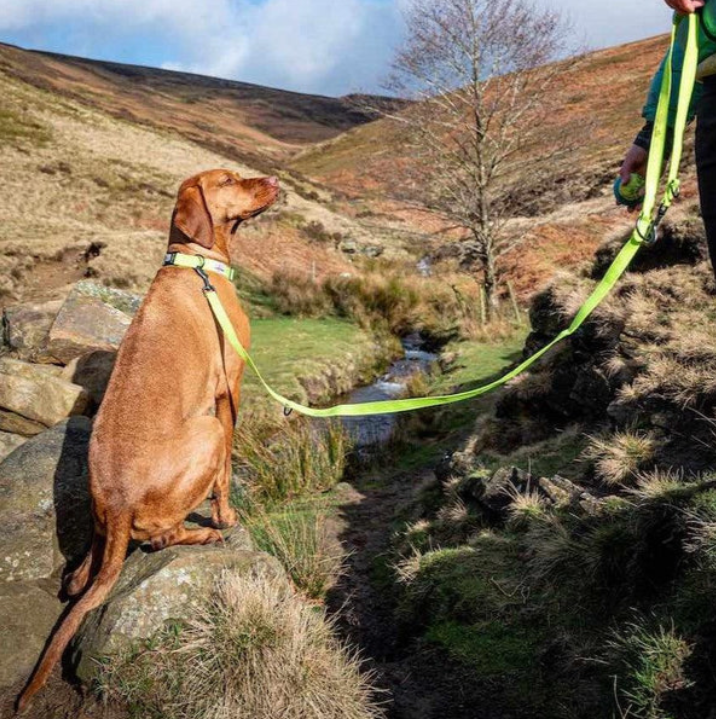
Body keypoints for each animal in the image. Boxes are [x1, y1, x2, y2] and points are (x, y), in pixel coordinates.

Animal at [16, 170, 280, 716]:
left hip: (102, 521)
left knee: (87, 571)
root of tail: (117, 505)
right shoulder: (230, 388)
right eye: (228, 179)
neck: (195, 263)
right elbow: (227, 472)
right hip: (207, 430)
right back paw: (204, 534)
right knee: (162, 535)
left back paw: (82, 573)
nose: (272, 179)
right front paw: (226, 516)